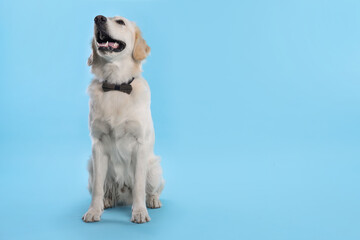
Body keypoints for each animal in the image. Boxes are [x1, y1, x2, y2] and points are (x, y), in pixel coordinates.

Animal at [82, 15, 165, 224]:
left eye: (120, 22)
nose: (98, 18)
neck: (116, 86)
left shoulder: (140, 144)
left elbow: (139, 186)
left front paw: (140, 211)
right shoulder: (98, 144)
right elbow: (98, 188)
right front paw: (93, 210)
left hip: (154, 168)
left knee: (153, 189)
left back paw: (153, 200)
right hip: (91, 166)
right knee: (105, 189)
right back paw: (106, 201)